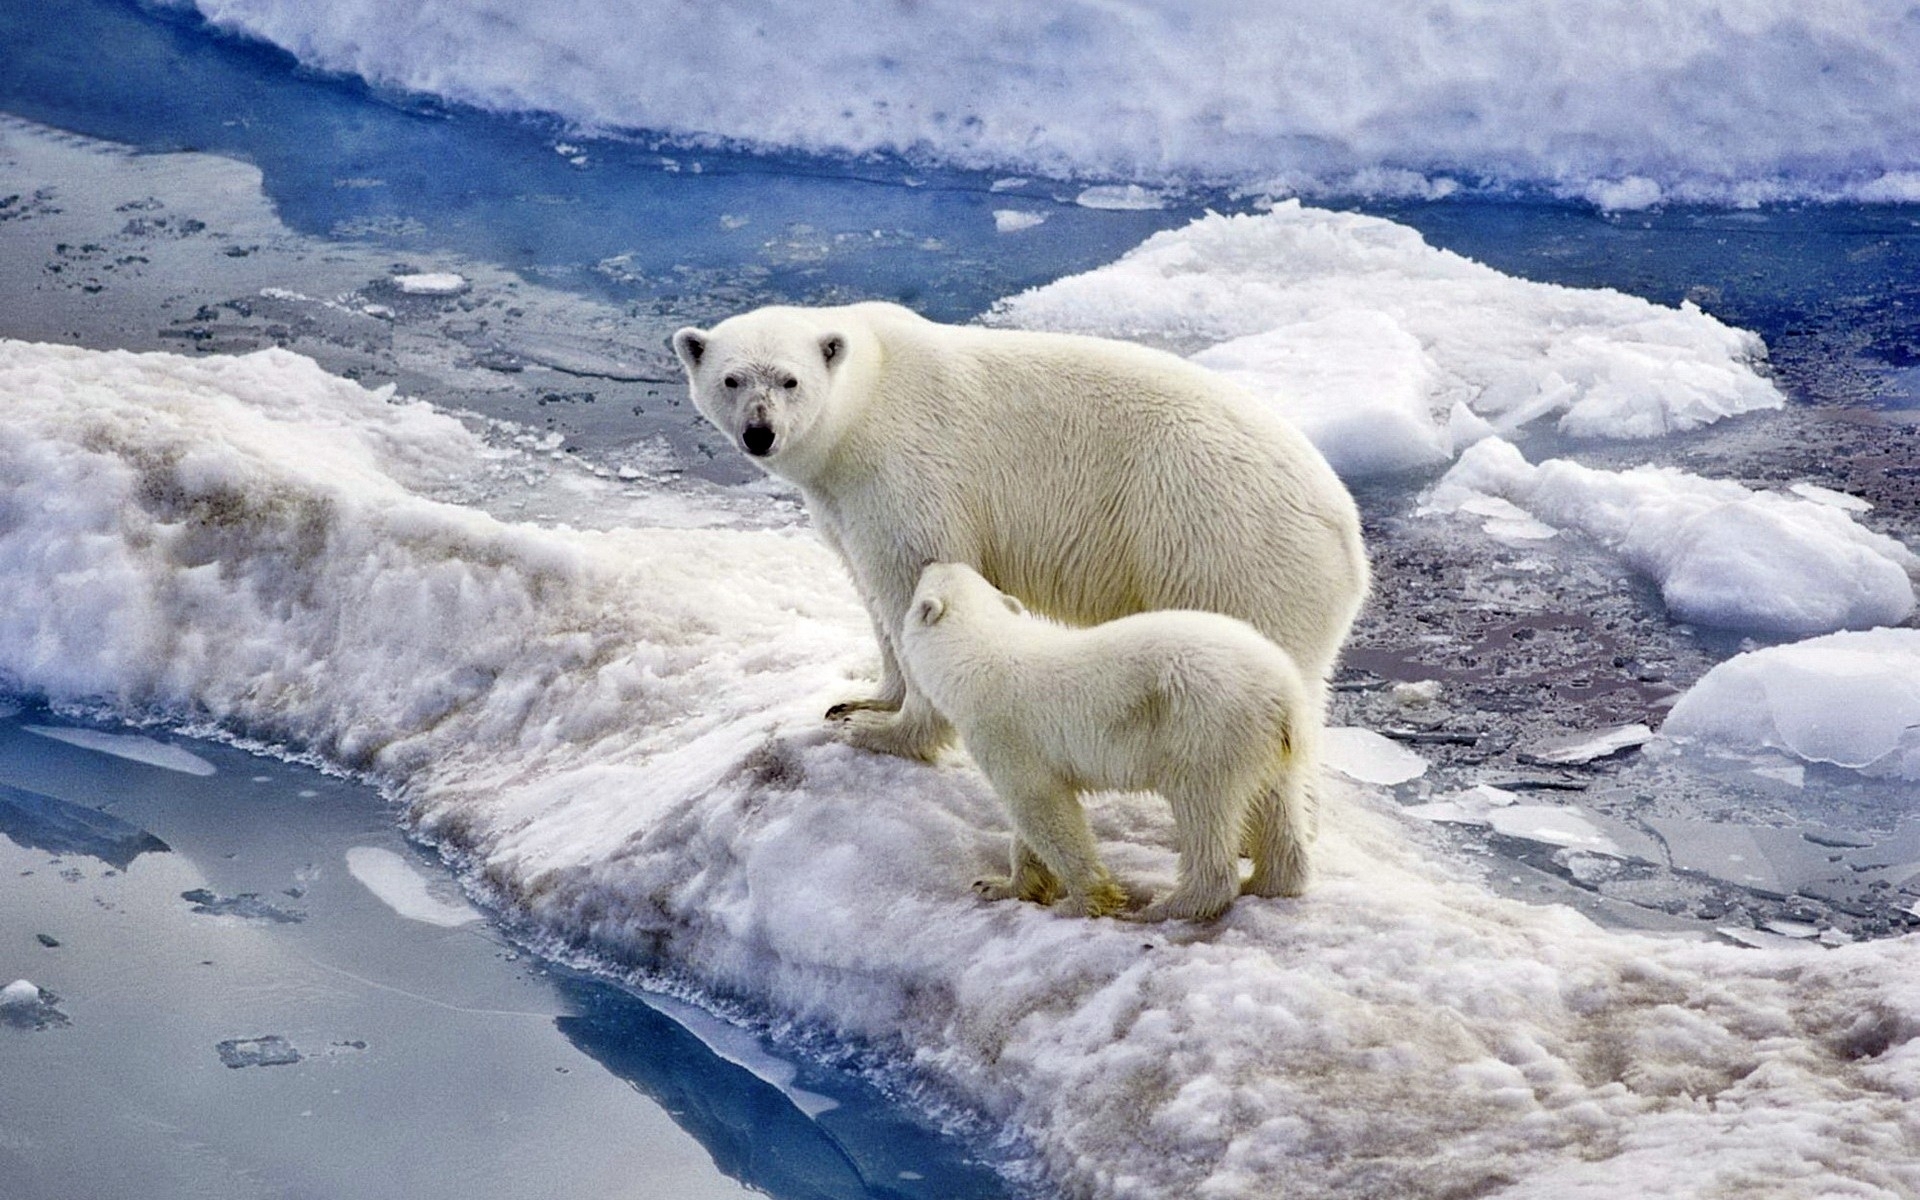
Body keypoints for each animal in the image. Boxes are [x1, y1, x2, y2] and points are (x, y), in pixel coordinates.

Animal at [675, 299, 1367, 898]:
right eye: (732, 379)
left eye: (789, 381)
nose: (759, 433)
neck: (865, 400)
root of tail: (1348, 538)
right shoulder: (840, 500)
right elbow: (870, 592)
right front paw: (861, 700)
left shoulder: (906, 471)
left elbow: (909, 579)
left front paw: (885, 732)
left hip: (1220, 549)